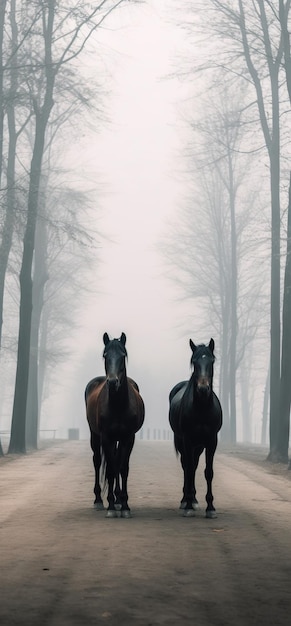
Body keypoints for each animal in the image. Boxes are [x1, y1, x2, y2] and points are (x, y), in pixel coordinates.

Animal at [85, 332, 145, 516]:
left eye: (123, 355)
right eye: (105, 355)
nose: (112, 382)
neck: (118, 405)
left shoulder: (128, 438)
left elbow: (122, 467)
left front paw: (124, 505)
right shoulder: (106, 437)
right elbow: (111, 468)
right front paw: (111, 506)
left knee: (117, 461)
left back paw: (118, 499)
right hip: (95, 435)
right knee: (98, 461)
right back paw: (99, 500)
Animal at [169, 336, 224, 516]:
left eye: (212, 361)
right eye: (194, 361)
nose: (203, 389)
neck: (201, 408)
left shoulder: (211, 441)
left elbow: (208, 472)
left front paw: (210, 507)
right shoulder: (187, 440)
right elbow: (189, 469)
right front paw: (187, 506)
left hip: (198, 446)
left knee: (194, 465)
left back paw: (193, 499)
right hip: (182, 442)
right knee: (187, 466)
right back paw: (186, 500)